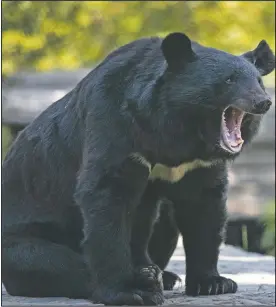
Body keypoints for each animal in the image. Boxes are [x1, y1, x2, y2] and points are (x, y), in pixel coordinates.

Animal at [1, 31, 274, 306]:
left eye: (259, 81)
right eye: (229, 80)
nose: (263, 102)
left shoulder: (198, 165)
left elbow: (203, 209)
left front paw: (214, 283)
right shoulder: (116, 126)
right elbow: (107, 196)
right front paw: (126, 291)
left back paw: (163, 275)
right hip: (21, 237)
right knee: (47, 262)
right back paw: (146, 280)